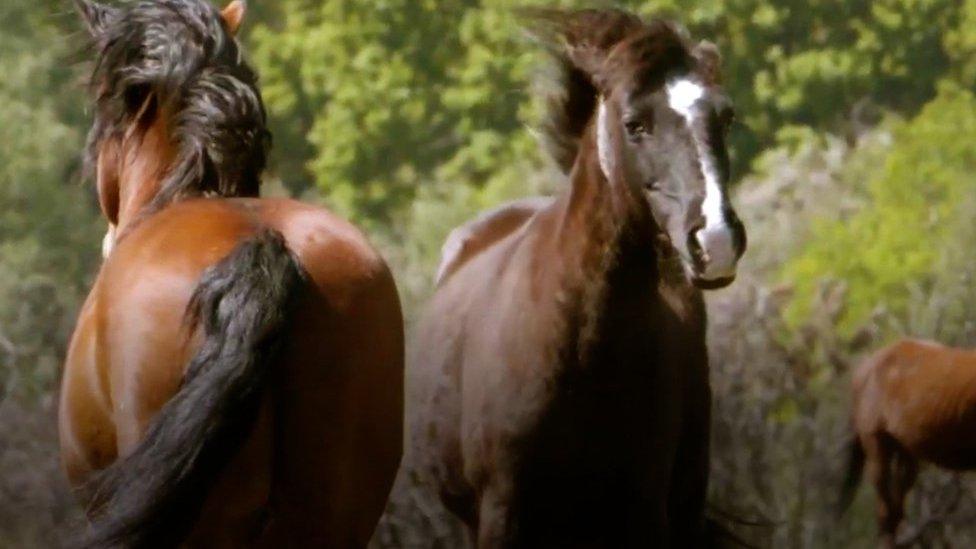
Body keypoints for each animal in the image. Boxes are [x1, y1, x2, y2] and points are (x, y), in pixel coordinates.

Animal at [404, 9, 748, 548]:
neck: (580, 348)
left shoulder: (644, 510)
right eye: (634, 124)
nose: (715, 240)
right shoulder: (502, 513)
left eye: (726, 116)